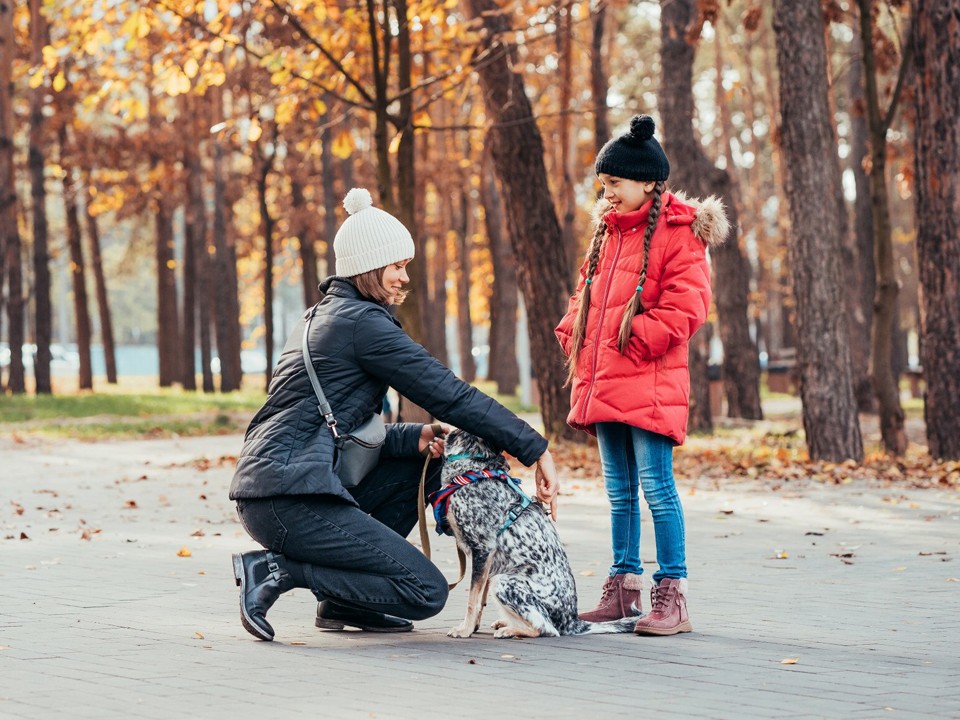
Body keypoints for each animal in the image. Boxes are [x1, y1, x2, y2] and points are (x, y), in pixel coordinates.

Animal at [438, 430, 640, 640]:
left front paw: (465, 629)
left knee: (546, 629)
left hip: (503, 581)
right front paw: (473, 626)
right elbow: (480, 599)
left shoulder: (483, 549)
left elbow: (472, 600)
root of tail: (572, 623)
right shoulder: (488, 561)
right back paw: (506, 622)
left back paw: (510, 629)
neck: (476, 466)